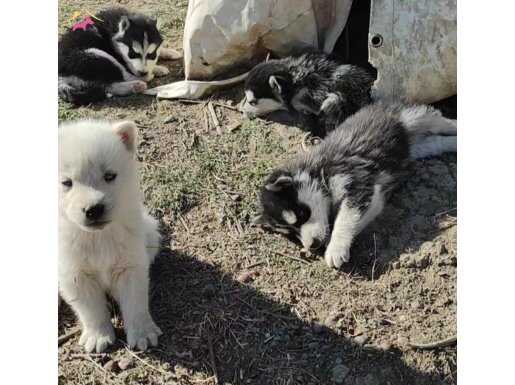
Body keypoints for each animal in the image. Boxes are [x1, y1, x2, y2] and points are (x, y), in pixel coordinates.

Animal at [57, 120, 161, 352]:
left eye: (109, 176)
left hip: (149, 232)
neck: (98, 238)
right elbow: (90, 308)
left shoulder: (130, 261)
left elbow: (135, 301)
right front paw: (98, 337)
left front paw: (143, 334)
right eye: (66, 182)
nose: (94, 209)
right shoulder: (74, 271)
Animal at [255, 103, 460, 268]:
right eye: (291, 234)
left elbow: (344, 219)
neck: (321, 171)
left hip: (413, 118)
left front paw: (335, 248)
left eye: (302, 214)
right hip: (419, 147)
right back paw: (454, 143)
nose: (312, 246)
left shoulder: (357, 183)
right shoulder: (372, 194)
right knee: (437, 142)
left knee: (441, 121)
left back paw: (456, 125)